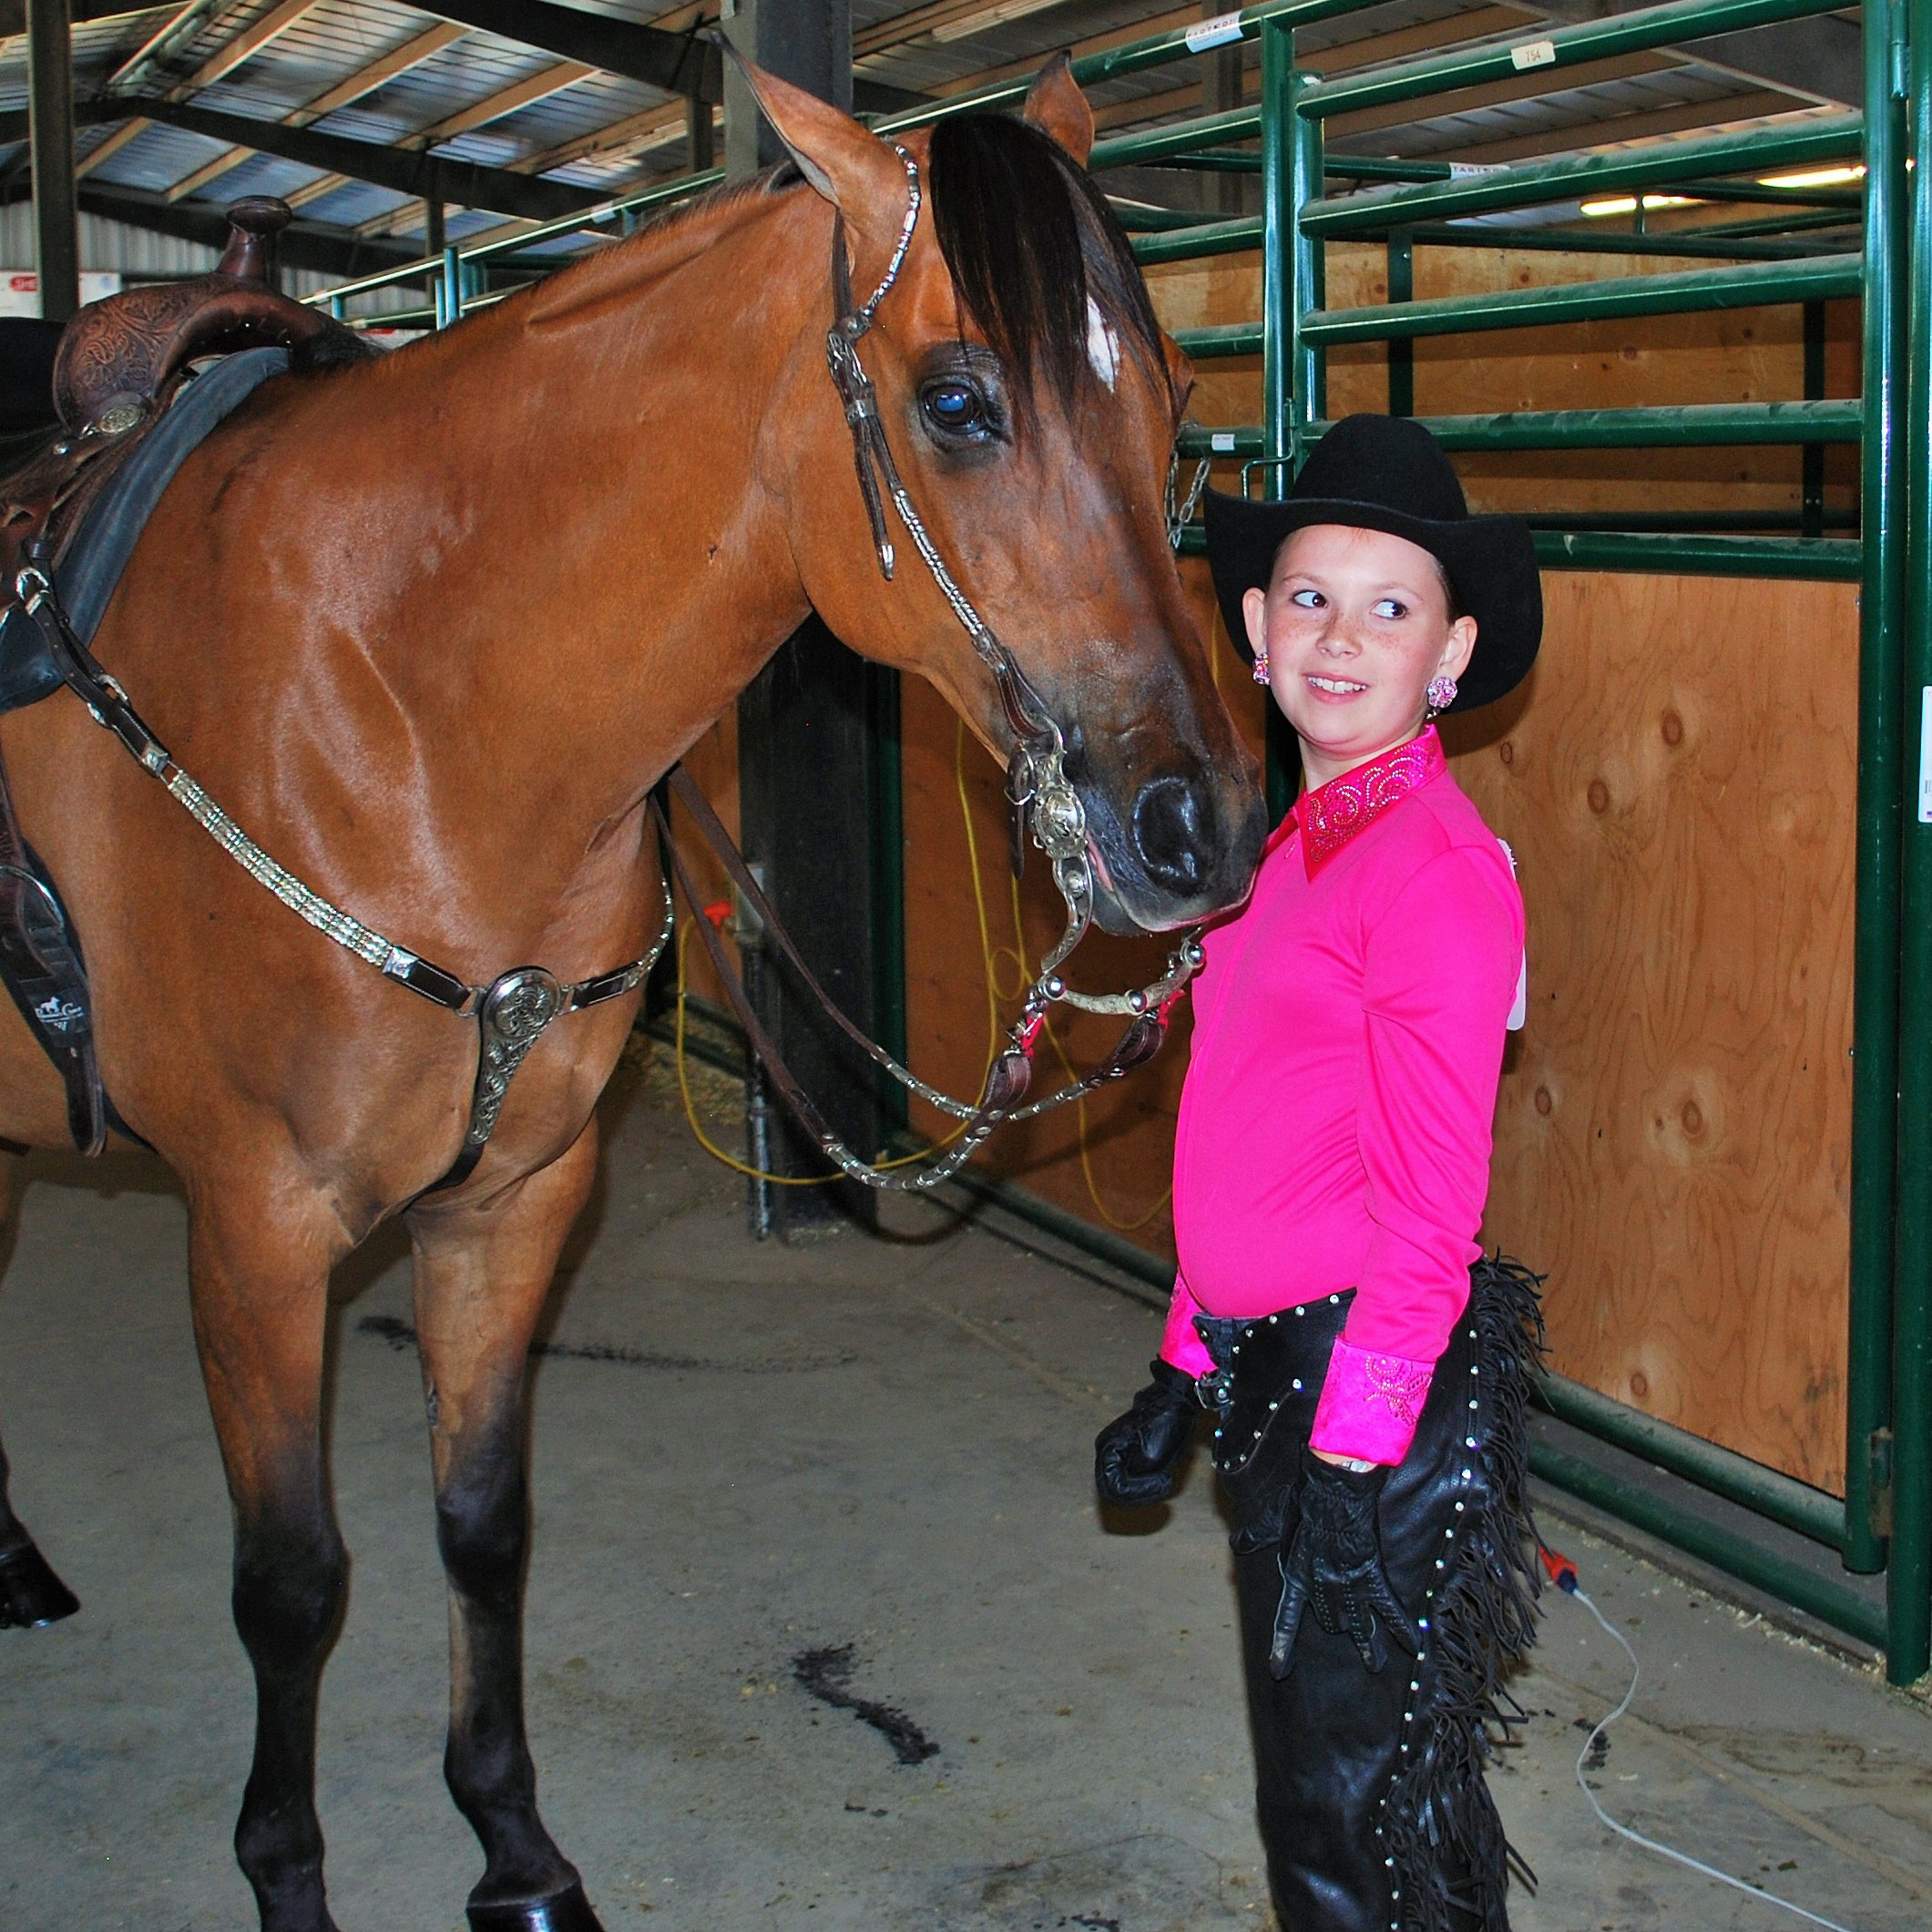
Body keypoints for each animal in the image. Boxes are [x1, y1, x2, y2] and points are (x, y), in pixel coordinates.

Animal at [0, 57, 1264, 1932]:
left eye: (1175, 401)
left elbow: (482, 1528)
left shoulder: (515, 1198)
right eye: (960, 402)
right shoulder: (255, 1228)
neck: (401, 699)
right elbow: (292, 1582)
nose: (1199, 827)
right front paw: (288, 1873)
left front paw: (516, 1850)